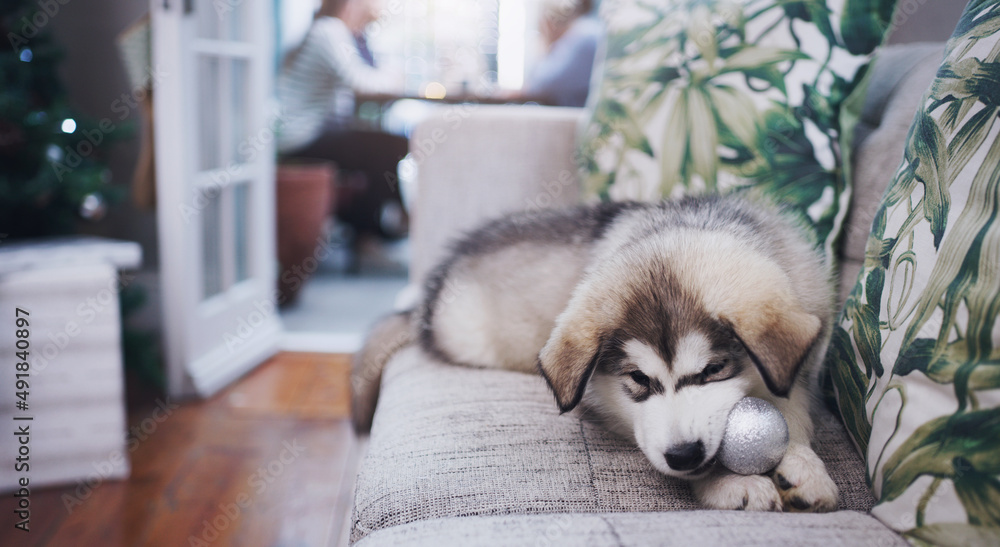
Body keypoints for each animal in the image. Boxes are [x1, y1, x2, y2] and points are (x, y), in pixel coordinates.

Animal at [356, 196, 840, 512]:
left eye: (715, 369)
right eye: (638, 379)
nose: (684, 454)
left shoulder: (800, 368)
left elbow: (793, 408)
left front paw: (803, 465)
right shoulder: (615, 412)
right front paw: (727, 483)